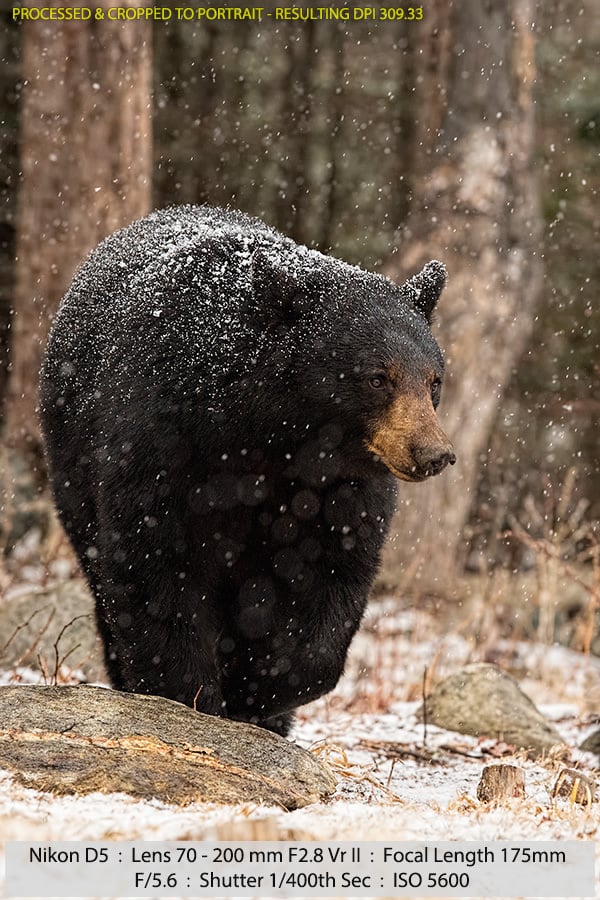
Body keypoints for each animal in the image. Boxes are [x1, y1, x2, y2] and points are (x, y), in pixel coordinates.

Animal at [39, 207, 454, 736]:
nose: (434, 453)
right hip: (71, 464)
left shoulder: (341, 490)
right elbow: (156, 563)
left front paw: (258, 691)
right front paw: (190, 693)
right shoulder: (162, 442)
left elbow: (330, 578)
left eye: (433, 380)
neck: (272, 440)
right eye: (379, 378)